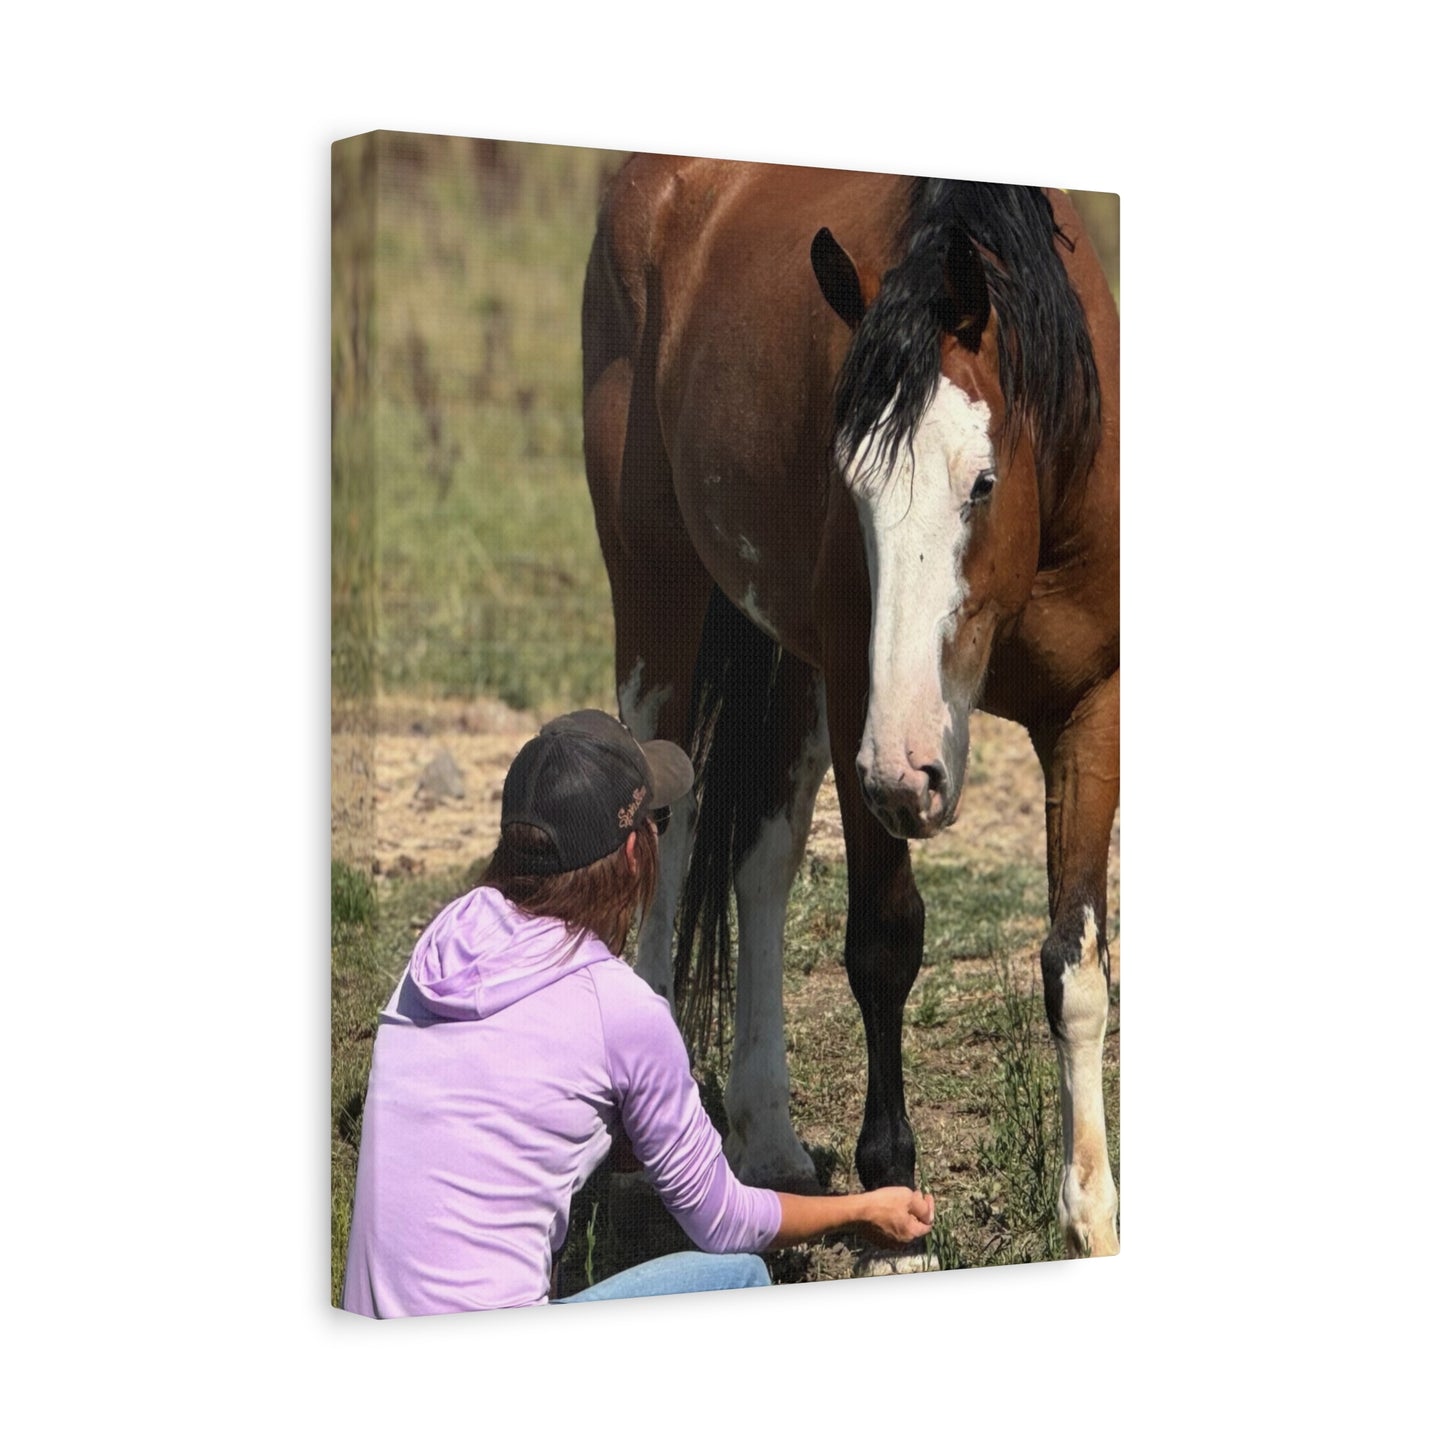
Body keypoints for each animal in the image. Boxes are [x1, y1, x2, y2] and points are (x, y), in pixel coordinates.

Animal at [581, 156, 1119, 1258]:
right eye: (854, 486)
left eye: (980, 482)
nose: (909, 768)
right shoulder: (855, 701)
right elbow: (882, 941)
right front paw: (893, 1207)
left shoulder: (1092, 708)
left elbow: (1075, 961)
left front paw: (1090, 1209)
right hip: (660, 596)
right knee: (666, 826)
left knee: (761, 864)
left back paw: (768, 1141)